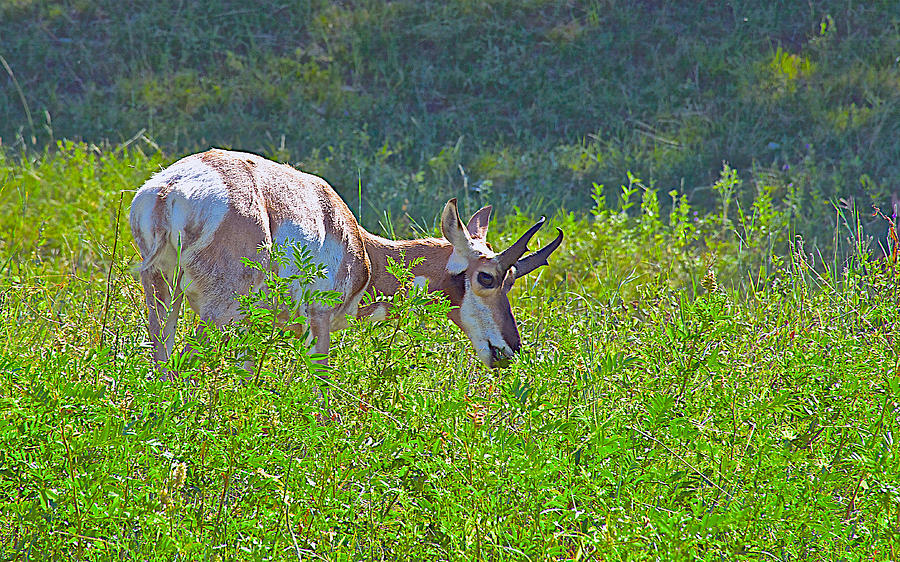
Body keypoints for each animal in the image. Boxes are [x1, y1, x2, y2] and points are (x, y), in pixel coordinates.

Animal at [130, 147, 564, 370]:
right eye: (487, 277)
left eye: (513, 279)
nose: (510, 350)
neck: (362, 245)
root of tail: (171, 189)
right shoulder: (318, 322)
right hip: (221, 312)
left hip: (163, 296)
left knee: (162, 362)